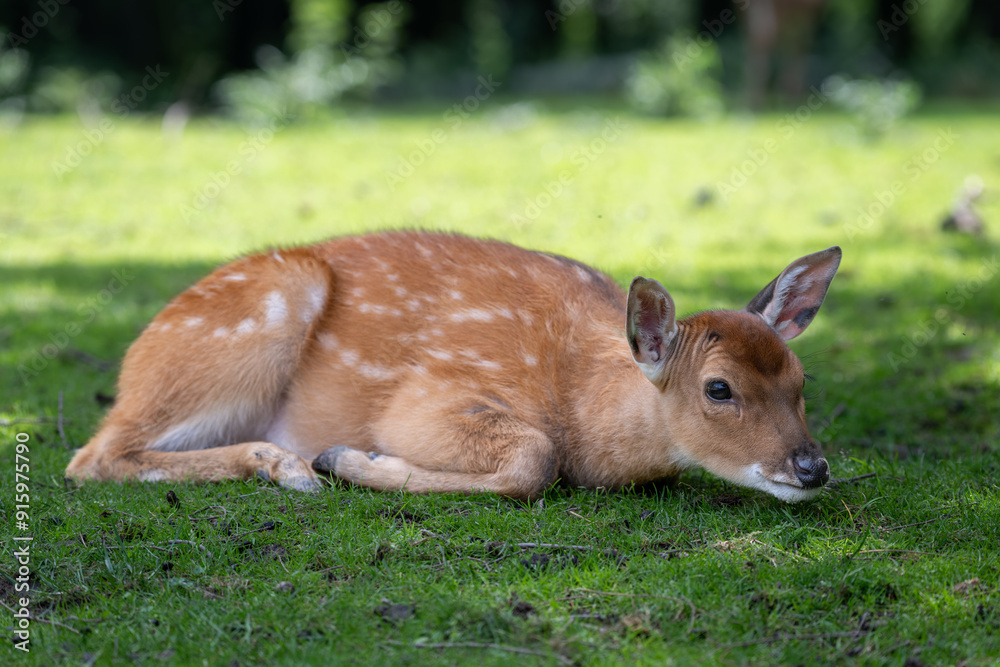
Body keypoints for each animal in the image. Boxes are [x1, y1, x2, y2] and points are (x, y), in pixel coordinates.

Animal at [65, 231, 842, 503]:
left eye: (802, 382)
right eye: (719, 387)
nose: (811, 468)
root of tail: (135, 358)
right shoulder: (428, 394)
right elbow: (534, 458)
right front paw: (346, 458)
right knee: (92, 455)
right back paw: (288, 466)